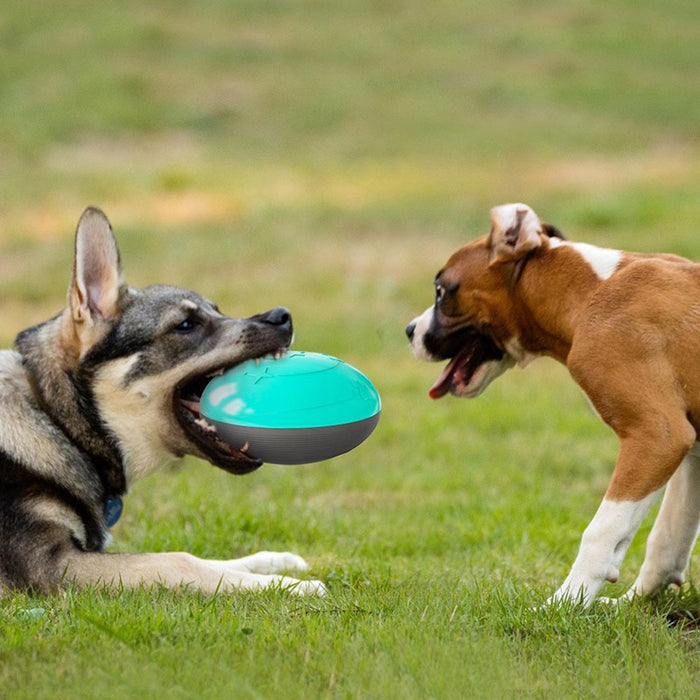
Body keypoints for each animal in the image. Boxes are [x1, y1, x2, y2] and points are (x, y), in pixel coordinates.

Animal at [404, 202, 700, 608]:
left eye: (441, 291)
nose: (409, 330)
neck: (592, 291)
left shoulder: (657, 434)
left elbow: (601, 532)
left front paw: (566, 605)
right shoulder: (691, 448)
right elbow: (667, 539)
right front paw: (633, 605)